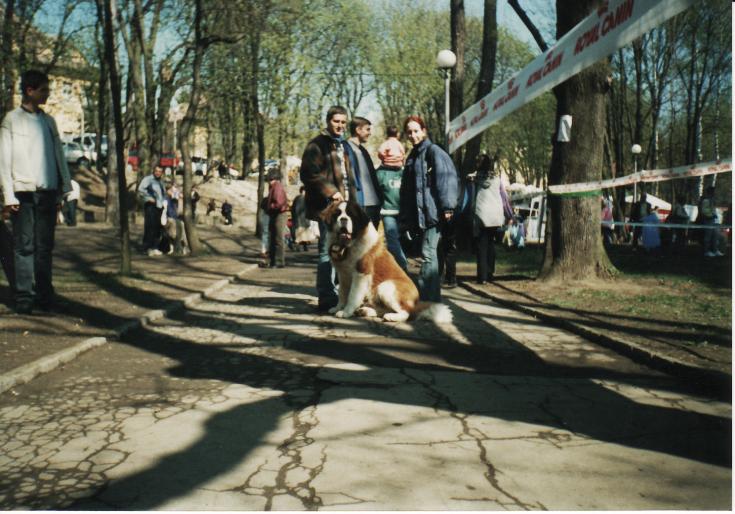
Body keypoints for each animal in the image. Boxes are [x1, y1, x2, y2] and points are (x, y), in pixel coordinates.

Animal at [324, 199, 454, 322]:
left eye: (351, 215)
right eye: (337, 214)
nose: (343, 219)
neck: (350, 244)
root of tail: (417, 303)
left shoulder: (361, 274)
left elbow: (352, 295)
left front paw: (346, 312)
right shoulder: (342, 274)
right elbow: (342, 293)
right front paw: (338, 307)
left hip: (386, 286)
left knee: (406, 313)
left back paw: (391, 317)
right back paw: (365, 311)